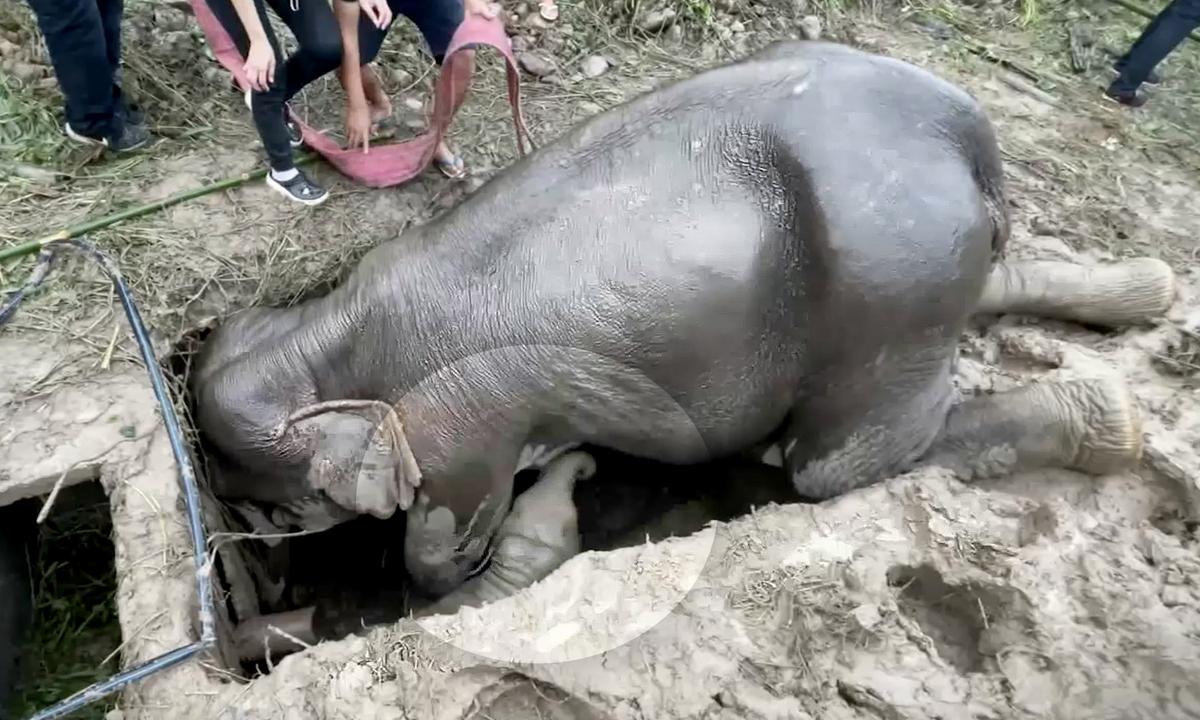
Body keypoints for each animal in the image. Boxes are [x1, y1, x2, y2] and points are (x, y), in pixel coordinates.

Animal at [190, 39, 1177, 604]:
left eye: (275, 513)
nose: (261, 572)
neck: (323, 329)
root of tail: (968, 127)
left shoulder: (460, 429)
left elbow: (437, 556)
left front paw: (550, 507)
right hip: (930, 261)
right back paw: (1151, 292)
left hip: (889, 279)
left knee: (831, 465)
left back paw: (1111, 418)